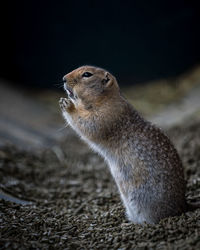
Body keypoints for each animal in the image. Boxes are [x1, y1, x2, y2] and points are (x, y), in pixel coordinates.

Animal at [59, 65, 188, 224]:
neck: (105, 98)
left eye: (87, 74)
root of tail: (183, 206)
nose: (63, 78)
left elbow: (89, 123)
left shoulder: (106, 114)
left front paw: (68, 105)